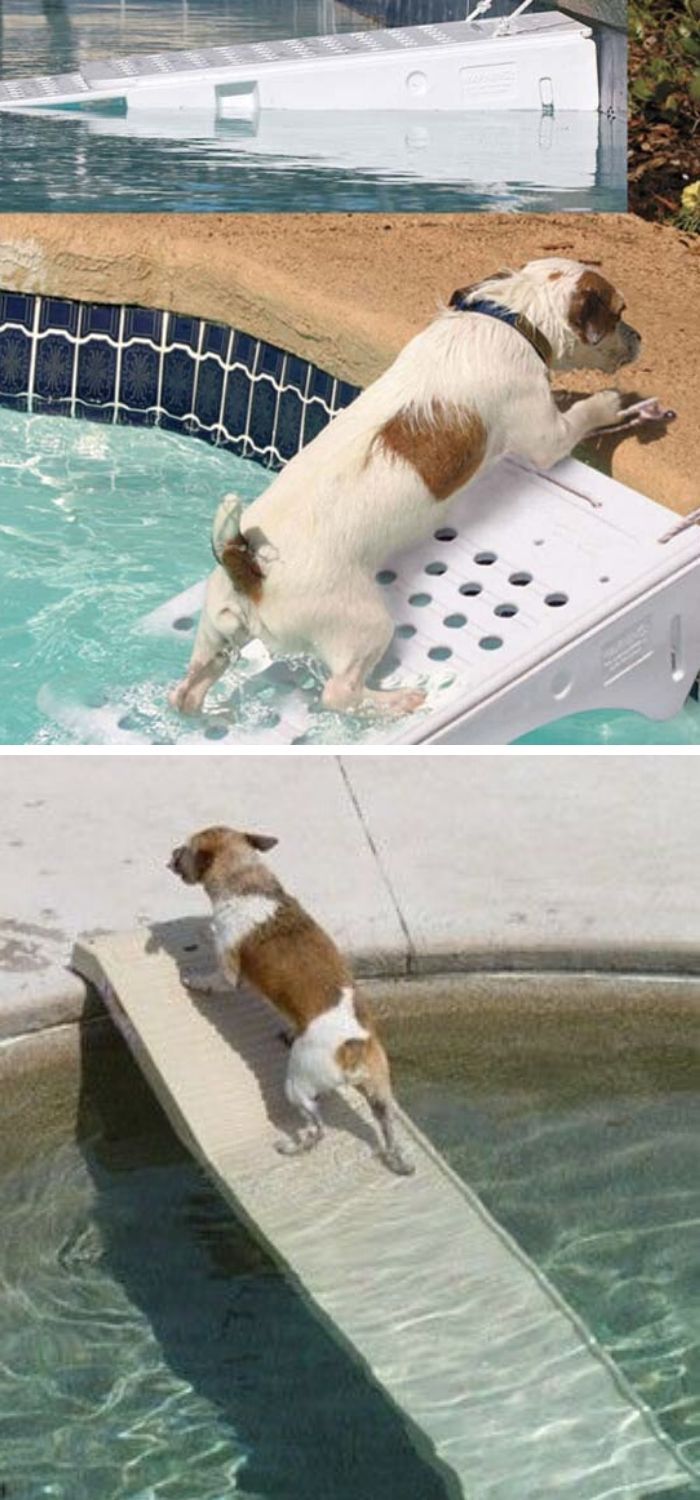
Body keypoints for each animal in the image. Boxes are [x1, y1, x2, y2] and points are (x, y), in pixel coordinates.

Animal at [167, 828, 413, 1176]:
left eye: (185, 850)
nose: (172, 852)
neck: (247, 882)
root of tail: (354, 1045)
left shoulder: (228, 973)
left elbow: (214, 978)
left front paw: (195, 979)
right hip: (379, 1092)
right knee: (386, 1126)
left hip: (297, 1083)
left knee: (317, 1126)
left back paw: (296, 1144)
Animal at [170, 261, 674, 717]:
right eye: (620, 313)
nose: (642, 339)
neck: (510, 318)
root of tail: (245, 561)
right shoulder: (545, 435)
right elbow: (584, 417)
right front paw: (610, 403)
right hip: (364, 624)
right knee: (340, 694)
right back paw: (398, 701)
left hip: (216, 634)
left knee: (189, 689)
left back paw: (206, 708)